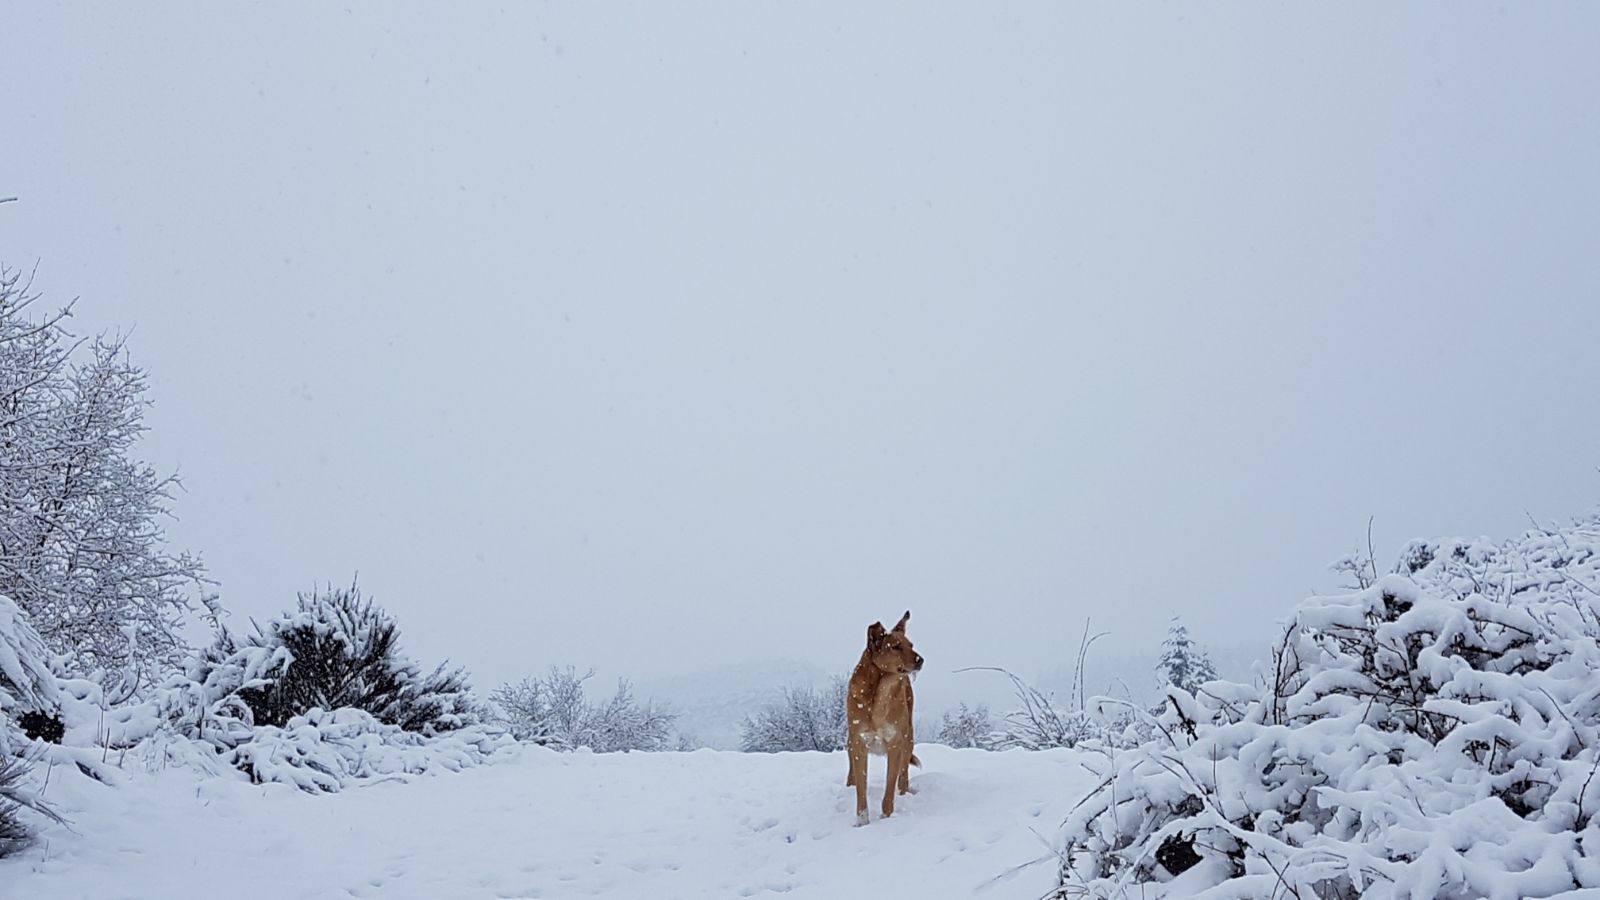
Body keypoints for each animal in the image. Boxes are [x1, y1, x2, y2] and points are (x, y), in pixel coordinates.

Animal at [844, 605, 921, 826]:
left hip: (908, 738)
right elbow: (861, 790)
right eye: (895, 647)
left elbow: (889, 789)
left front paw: (886, 818)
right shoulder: (858, 743)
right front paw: (862, 822)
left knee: (903, 776)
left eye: (911, 645)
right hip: (849, 742)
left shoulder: (895, 743)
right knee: (851, 773)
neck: (881, 690)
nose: (921, 660)